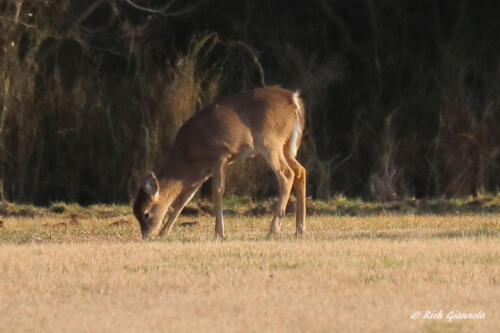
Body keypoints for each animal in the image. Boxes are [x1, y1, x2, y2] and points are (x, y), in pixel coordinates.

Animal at [132, 86, 304, 239]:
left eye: (146, 214)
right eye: (136, 214)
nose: (146, 236)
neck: (187, 155)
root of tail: (295, 100)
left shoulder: (220, 155)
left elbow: (217, 191)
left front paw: (219, 233)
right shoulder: (200, 173)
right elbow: (184, 198)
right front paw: (164, 232)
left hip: (269, 141)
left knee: (287, 174)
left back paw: (273, 231)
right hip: (286, 145)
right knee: (300, 171)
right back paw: (300, 229)